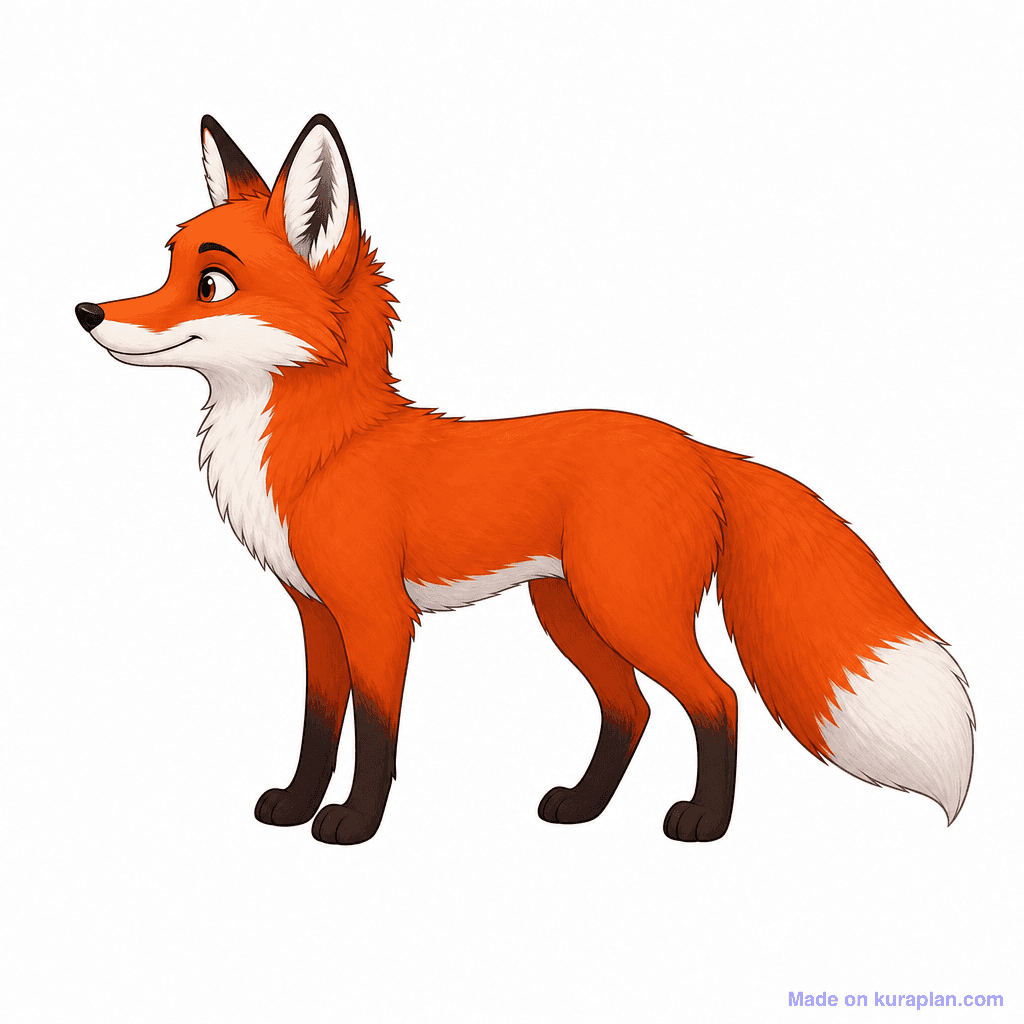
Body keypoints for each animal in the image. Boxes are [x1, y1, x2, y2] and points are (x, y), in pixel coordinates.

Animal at [76, 114, 974, 845]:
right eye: (166, 268)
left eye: (211, 283)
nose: (86, 311)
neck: (326, 449)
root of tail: (696, 447)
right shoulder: (317, 615)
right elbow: (318, 727)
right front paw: (297, 806)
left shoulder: (378, 618)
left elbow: (374, 735)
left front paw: (353, 824)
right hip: (572, 612)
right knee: (632, 709)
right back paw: (582, 806)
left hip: (626, 609)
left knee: (716, 701)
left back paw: (703, 824)